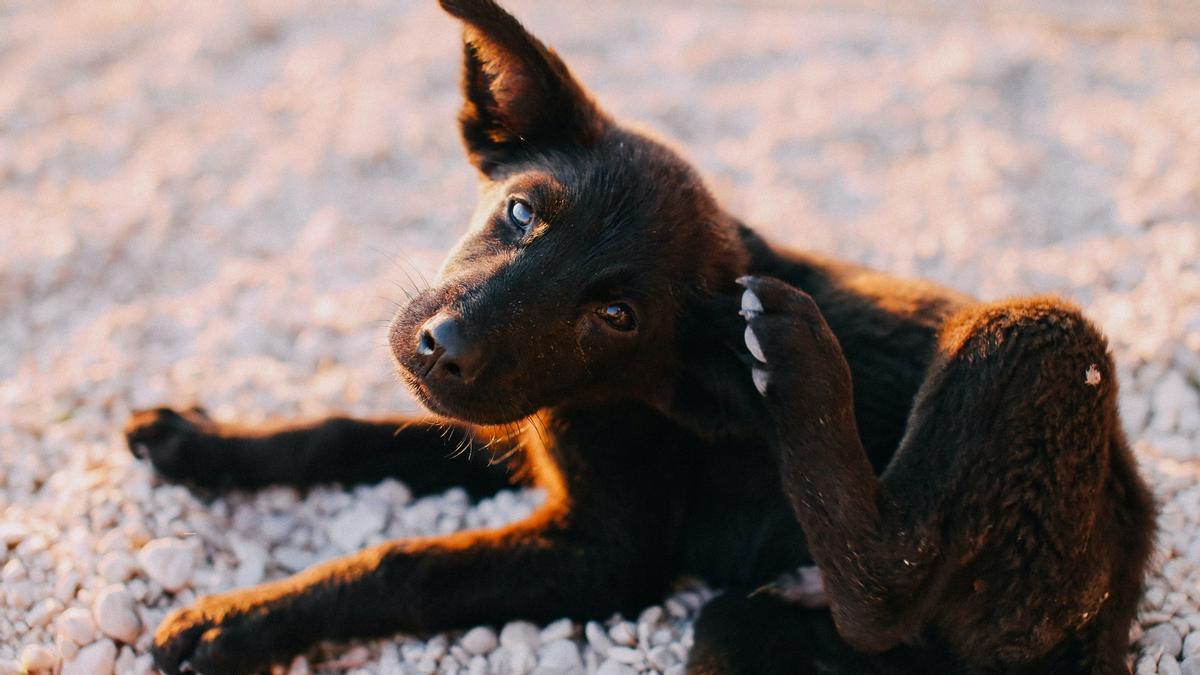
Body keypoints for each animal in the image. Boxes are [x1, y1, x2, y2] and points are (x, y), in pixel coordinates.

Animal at [124, 2, 1152, 667]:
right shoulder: (509, 436)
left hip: (1039, 343)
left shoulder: (605, 554)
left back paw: (797, 361)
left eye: (616, 316)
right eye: (522, 212)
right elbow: (346, 433)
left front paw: (237, 621)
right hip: (762, 632)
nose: (443, 347)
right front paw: (202, 442)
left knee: (887, 583)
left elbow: (408, 563)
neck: (616, 394)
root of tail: (1126, 559)